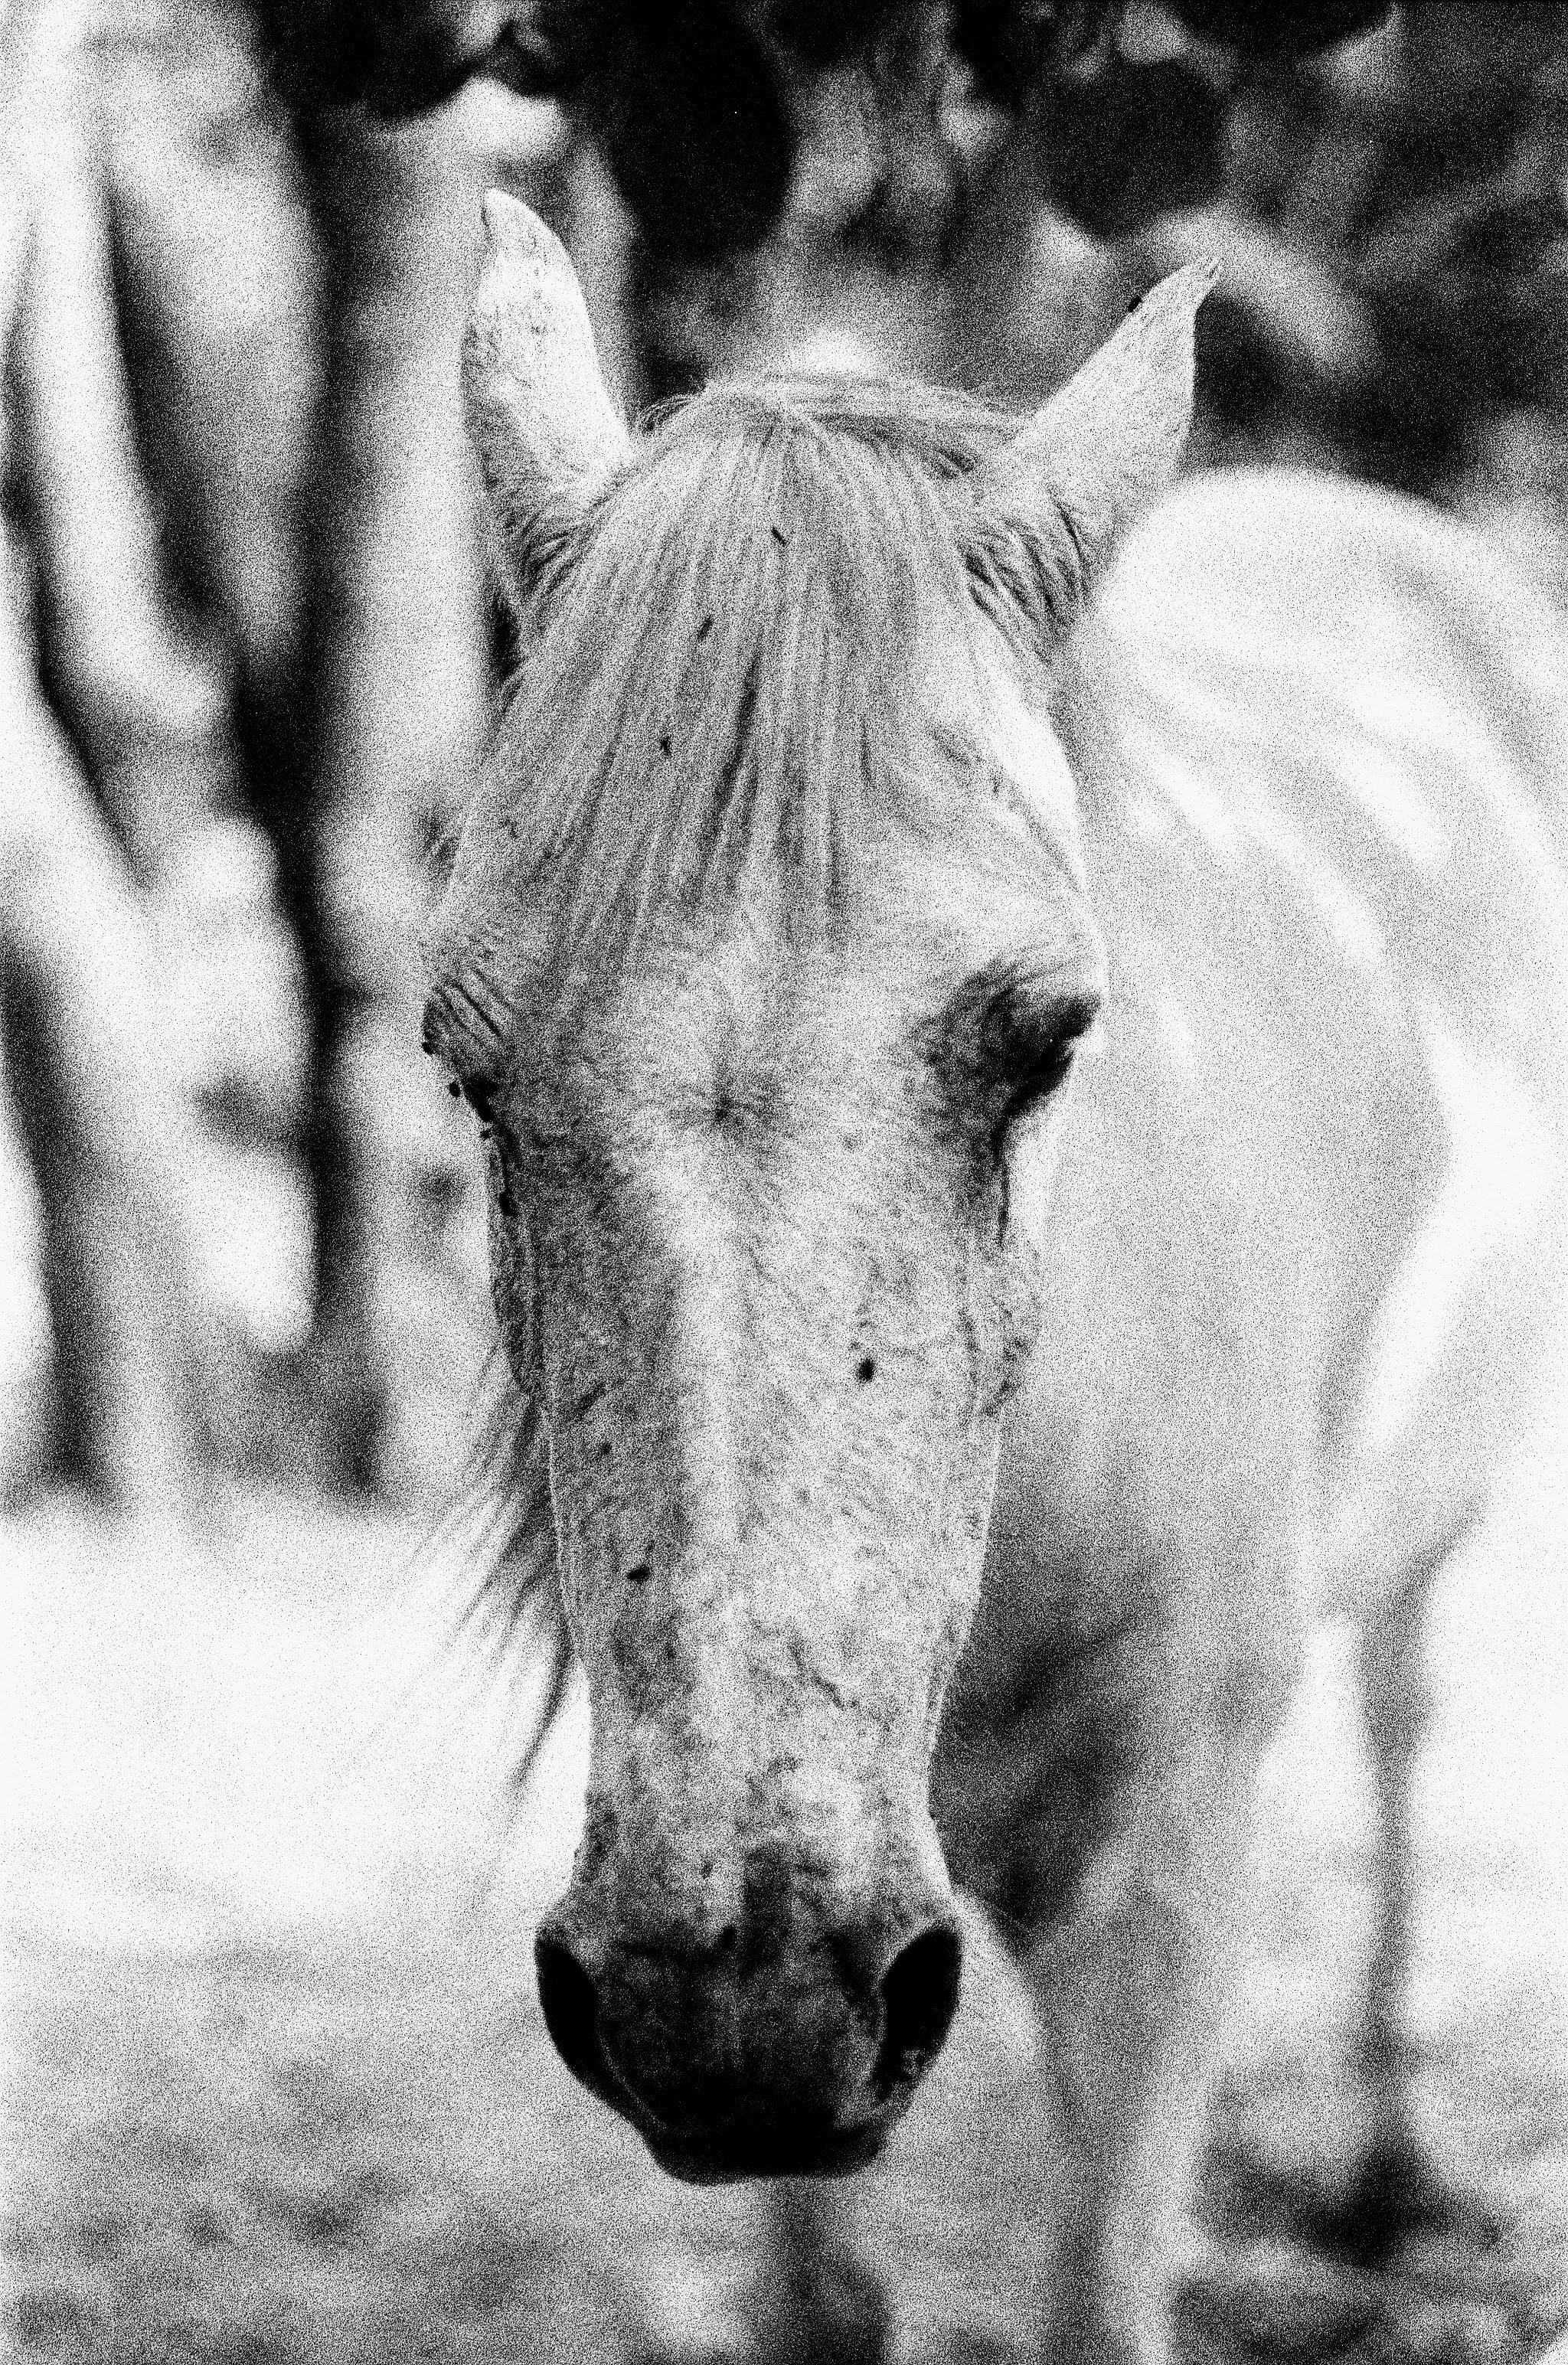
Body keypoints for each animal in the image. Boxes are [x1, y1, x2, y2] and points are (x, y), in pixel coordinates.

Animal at [423, 192, 1568, 2363]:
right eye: (467, 1064)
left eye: (1045, 1041)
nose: (737, 1992)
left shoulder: (1157, 1905)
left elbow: (1101, 2292)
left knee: (1402, 1714)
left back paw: (1390, 2165)